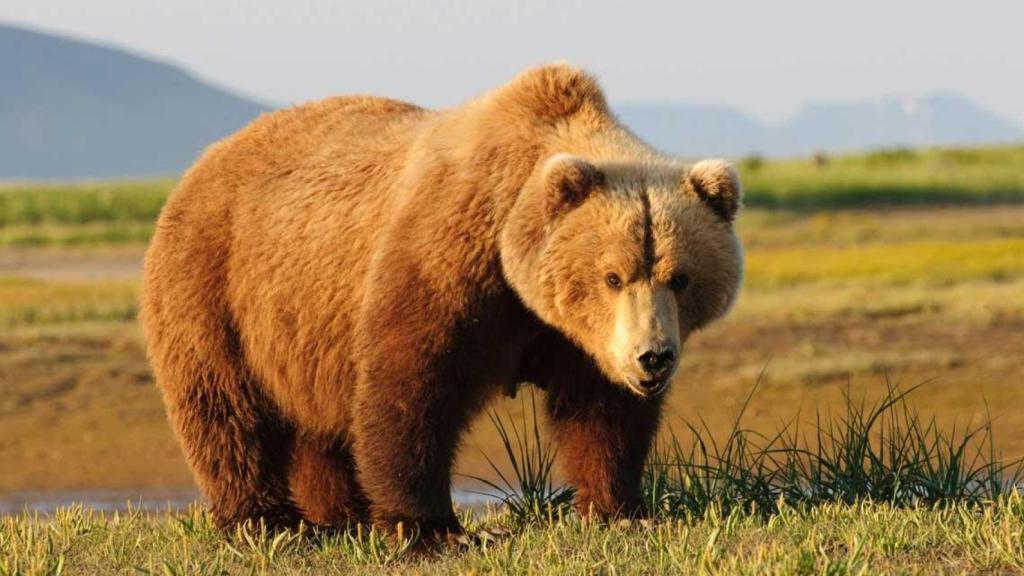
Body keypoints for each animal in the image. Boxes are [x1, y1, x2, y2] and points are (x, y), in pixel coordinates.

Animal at [140, 63, 743, 539]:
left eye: (680, 277)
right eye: (612, 276)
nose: (653, 358)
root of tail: (203, 160)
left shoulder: (579, 337)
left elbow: (601, 411)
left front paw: (620, 508)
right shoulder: (451, 260)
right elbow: (412, 385)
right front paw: (431, 528)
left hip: (305, 332)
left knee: (319, 425)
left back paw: (339, 515)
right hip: (214, 283)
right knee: (225, 409)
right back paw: (265, 520)